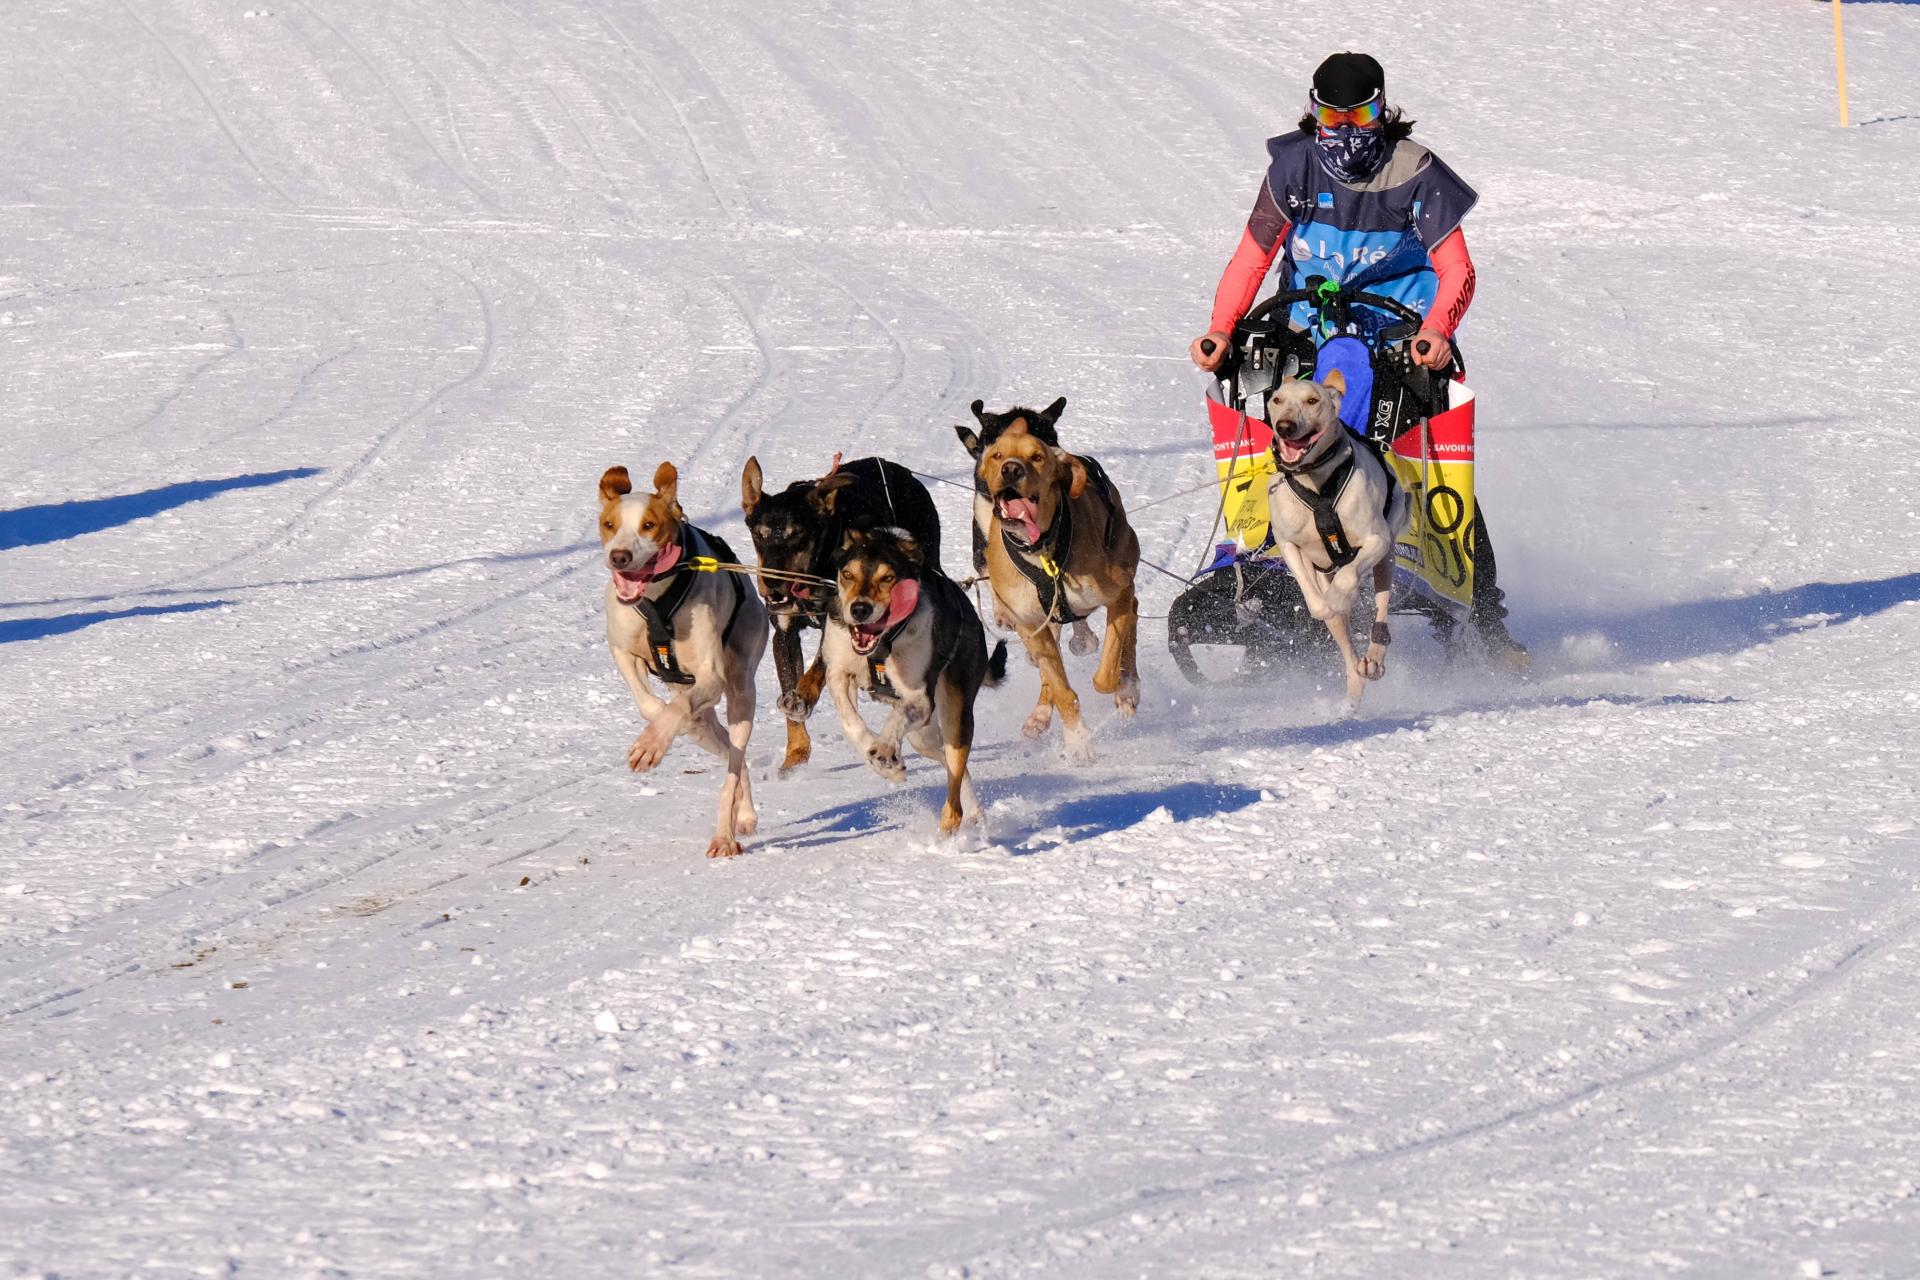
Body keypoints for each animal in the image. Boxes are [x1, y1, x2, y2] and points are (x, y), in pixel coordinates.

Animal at [595, 460, 768, 859]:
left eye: (648, 525)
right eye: (609, 524)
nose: (619, 557)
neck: (657, 598)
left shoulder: (710, 676)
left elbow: (677, 709)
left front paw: (651, 744)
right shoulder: (622, 651)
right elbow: (649, 705)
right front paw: (658, 730)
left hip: (741, 691)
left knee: (734, 764)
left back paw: (726, 833)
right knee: (730, 754)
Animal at [737, 454, 940, 775]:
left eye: (797, 535)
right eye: (759, 535)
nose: (772, 582)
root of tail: (901, 470)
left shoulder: (837, 626)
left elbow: (816, 669)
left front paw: (803, 696)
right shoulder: (784, 633)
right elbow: (790, 683)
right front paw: (796, 754)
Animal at [821, 525, 1006, 836]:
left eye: (888, 578)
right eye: (847, 574)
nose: (859, 609)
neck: (883, 645)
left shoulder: (919, 697)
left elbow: (897, 715)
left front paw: (885, 748)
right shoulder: (838, 672)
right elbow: (851, 724)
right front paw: (885, 763)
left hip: (955, 713)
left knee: (955, 780)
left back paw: (952, 826)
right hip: (923, 738)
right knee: (954, 767)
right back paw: (973, 812)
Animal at [960, 401, 1136, 759]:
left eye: (1038, 456)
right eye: (997, 454)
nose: (1011, 469)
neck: (1043, 550)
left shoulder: (1118, 592)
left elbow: (1107, 671)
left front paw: (1122, 687)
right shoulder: (1030, 624)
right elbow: (1060, 688)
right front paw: (1078, 741)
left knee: (1132, 620)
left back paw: (1129, 687)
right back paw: (1040, 715)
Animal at [1259, 368, 1413, 710]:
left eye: (1312, 400)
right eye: (1277, 400)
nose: (1284, 426)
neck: (1315, 484)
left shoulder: (1375, 541)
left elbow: (1347, 580)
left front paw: (1342, 597)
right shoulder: (1289, 545)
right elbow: (1318, 604)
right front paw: (1328, 605)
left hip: (1387, 558)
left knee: (1381, 609)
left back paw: (1373, 658)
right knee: (1347, 650)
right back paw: (1354, 685)